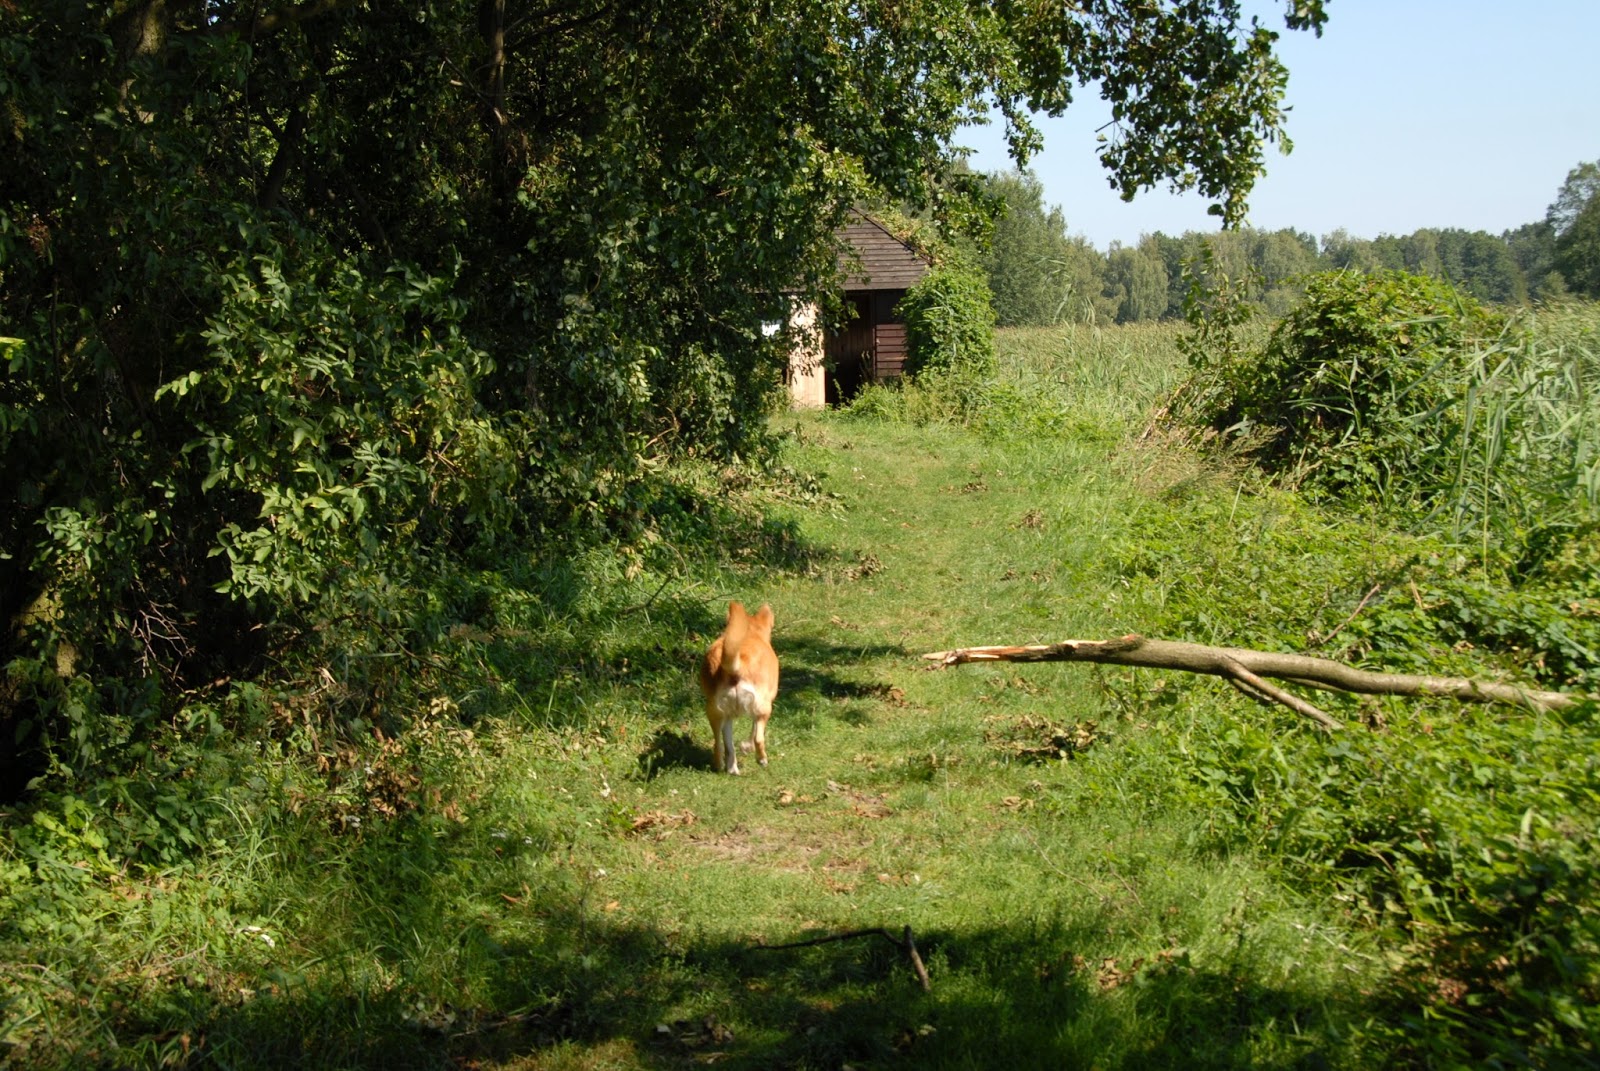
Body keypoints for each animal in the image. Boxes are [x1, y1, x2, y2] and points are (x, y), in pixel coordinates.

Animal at [699, 601, 779, 775]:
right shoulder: (760, 709)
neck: (750, 633)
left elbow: (729, 745)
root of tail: (734, 669)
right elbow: (754, 732)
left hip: (716, 713)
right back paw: (762, 759)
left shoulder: (727, 717)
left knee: (720, 745)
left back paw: (728, 768)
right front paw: (747, 747)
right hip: (764, 708)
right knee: (758, 738)